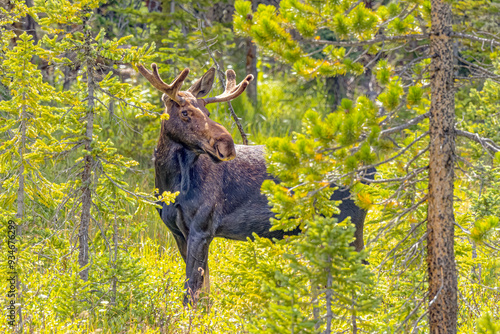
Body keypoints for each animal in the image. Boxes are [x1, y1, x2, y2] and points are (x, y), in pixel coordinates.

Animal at [139, 63, 374, 306]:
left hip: (347, 222)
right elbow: (203, 292)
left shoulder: (202, 228)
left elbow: (192, 292)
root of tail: (370, 166)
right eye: (185, 112)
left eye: (208, 112)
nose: (227, 144)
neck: (170, 184)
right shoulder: (178, 231)